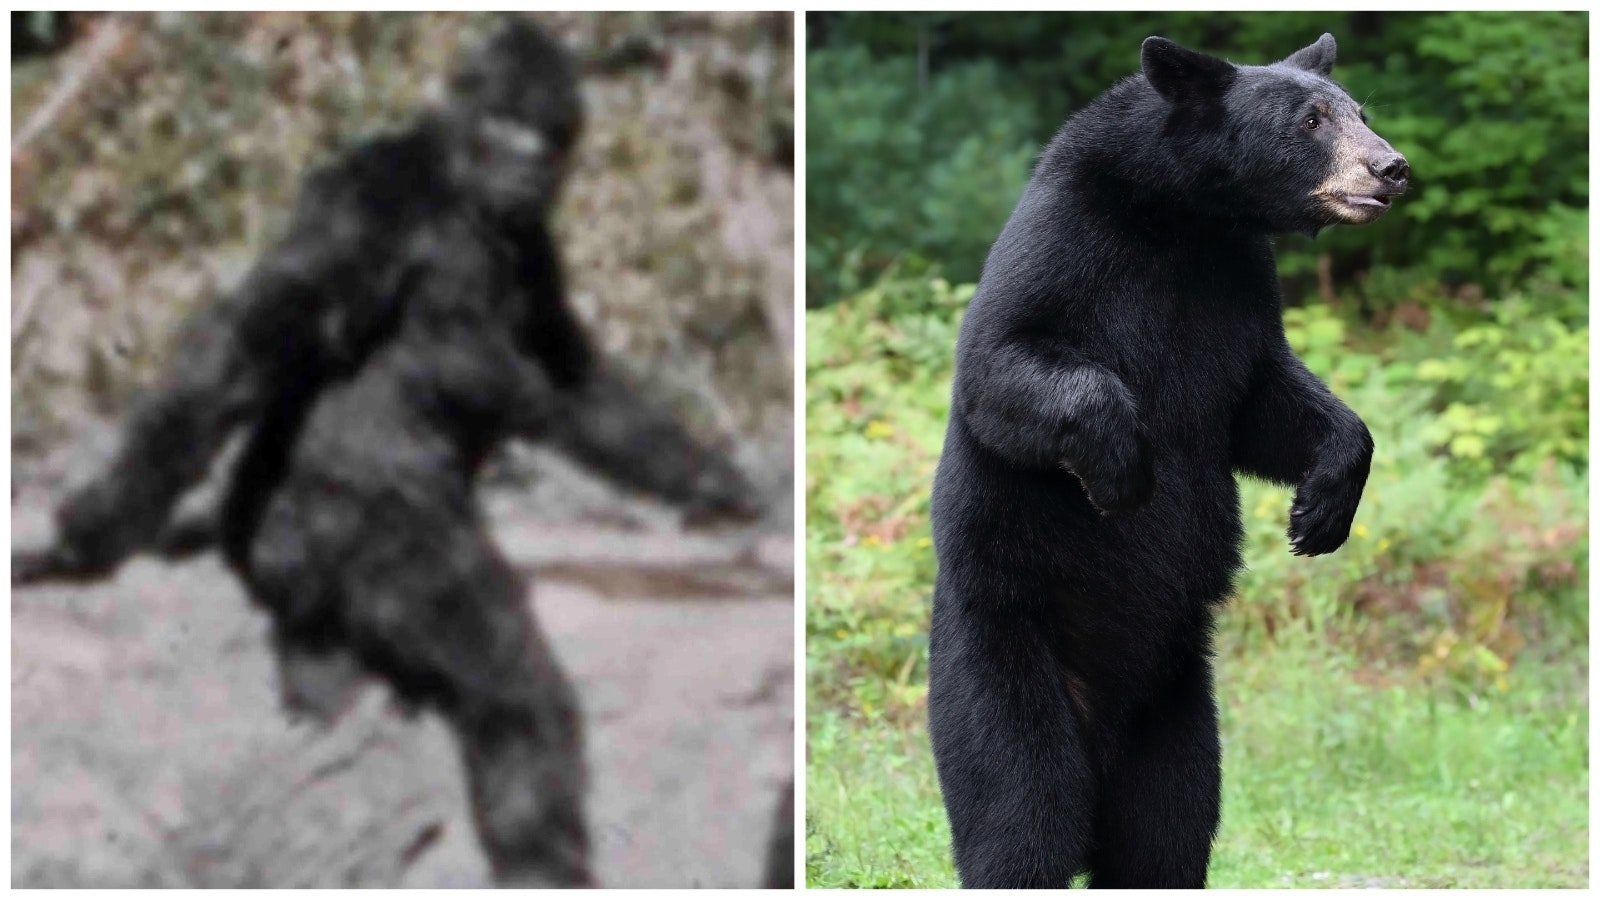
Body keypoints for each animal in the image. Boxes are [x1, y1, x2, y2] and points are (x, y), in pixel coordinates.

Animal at [926, 33, 1407, 888]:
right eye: (1311, 119)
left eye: (1359, 110)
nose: (1391, 167)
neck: (1187, 215)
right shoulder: (1067, 242)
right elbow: (1003, 364)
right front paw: (1124, 472)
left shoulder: (1238, 286)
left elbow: (1266, 402)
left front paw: (1320, 510)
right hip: (1001, 658)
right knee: (1021, 817)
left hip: (1180, 706)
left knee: (1168, 831)